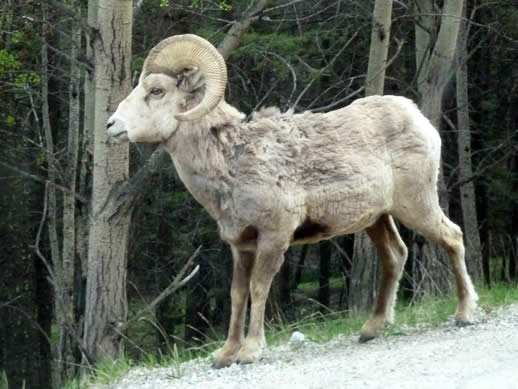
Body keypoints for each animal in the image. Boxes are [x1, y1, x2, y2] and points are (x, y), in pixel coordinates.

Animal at [105, 33, 480, 366]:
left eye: (156, 91)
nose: (111, 125)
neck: (231, 162)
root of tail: (419, 119)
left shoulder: (274, 236)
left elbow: (259, 288)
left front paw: (250, 352)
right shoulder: (240, 245)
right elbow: (238, 294)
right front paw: (225, 355)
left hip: (416, 205)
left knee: (452, 237)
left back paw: (464, 314)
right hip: (377, 219)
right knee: (396, 256)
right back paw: (371, 329)